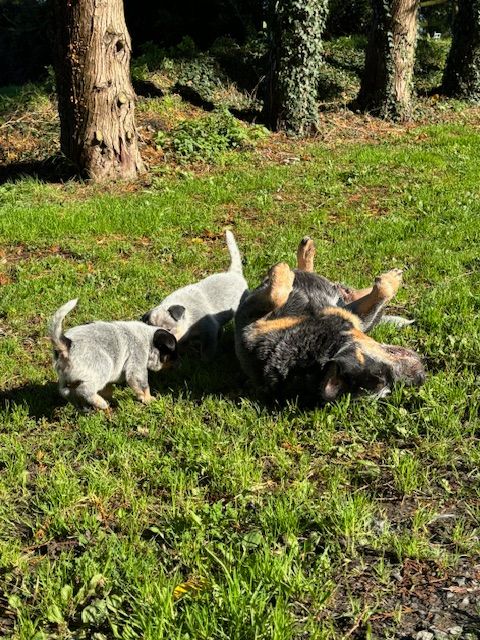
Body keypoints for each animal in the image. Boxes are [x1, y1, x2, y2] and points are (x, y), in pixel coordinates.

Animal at [48, 298, 177, 412]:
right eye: (169, 355)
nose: (177, 363)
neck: (149, 338)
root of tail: (68, 344)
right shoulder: (137, 362)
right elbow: (143, 385)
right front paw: (148, 399)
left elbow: (108, 389)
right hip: (104, 366)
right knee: (84, 390)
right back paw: (101, 403)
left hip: (64, 377)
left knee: (65, 391)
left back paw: (83, 406)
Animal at [142, 230, 248, 360]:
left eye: (168, 329)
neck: (188, 318)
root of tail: (233, 273)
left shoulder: (209, 329)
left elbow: (207, 350)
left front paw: (204, 361)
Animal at [234, 238, 426, 402]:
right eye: (382, 375)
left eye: (387, 389)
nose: (421, 377)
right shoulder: (247, 318)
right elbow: (277, 295)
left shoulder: (353, 316)